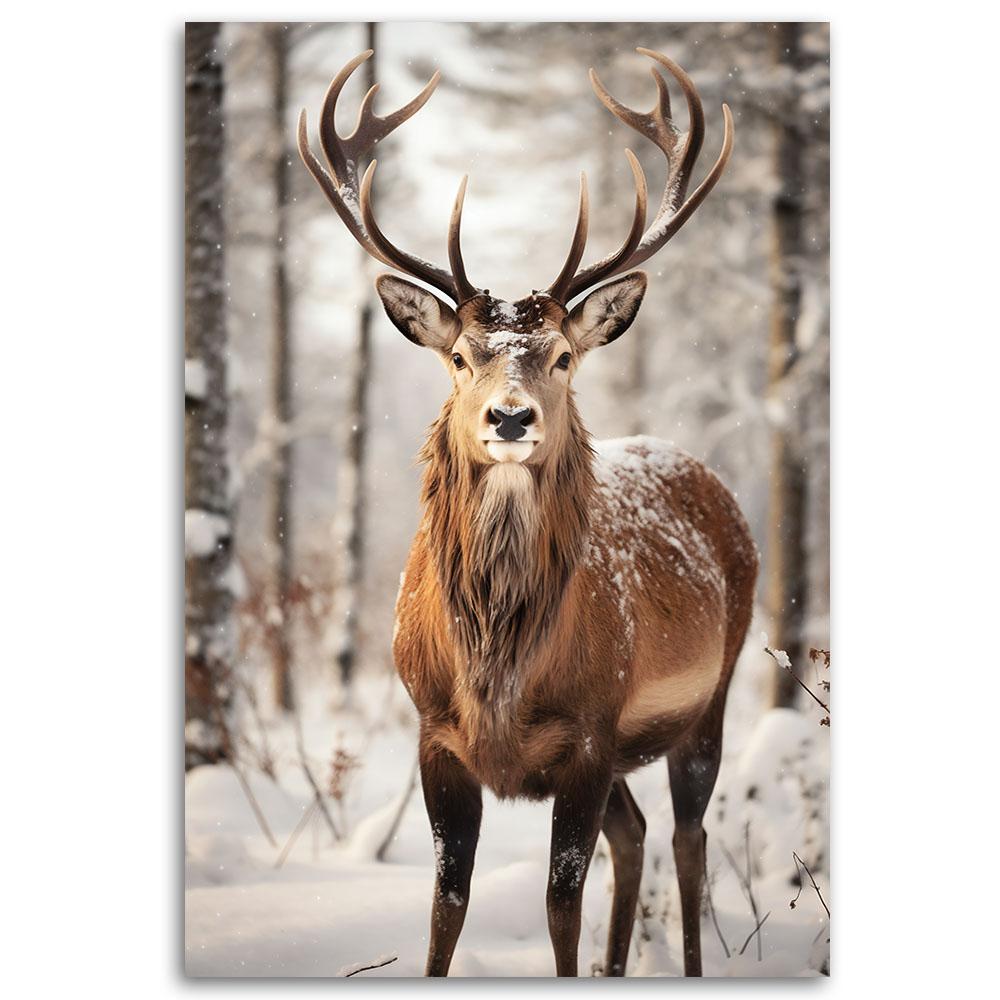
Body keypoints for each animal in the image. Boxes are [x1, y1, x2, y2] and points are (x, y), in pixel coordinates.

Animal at [299, 46, 758, 978]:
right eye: (461, 355)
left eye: (563, 356)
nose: (510, 418)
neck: (499, 677)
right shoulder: (434, 733)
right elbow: (446, 903)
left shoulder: (589, 729)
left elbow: (559, 905)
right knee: (638, 833)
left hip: (712, 692)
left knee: (687, 839)